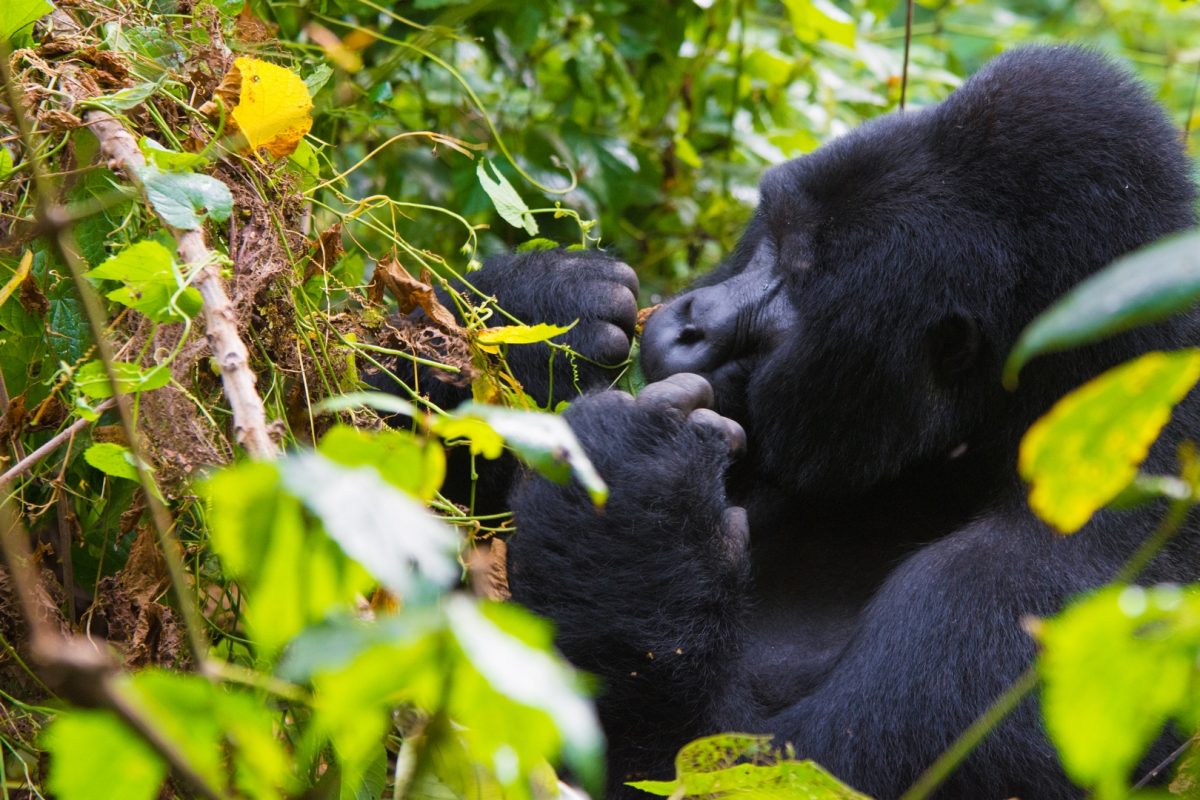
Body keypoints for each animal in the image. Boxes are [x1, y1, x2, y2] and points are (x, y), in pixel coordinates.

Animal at [388, 47, 1195, 796]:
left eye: (796, 291)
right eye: (770, 236)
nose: (689, 323)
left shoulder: (1046, 600)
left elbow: (718, 765)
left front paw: (633, 509)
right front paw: (535, 315)